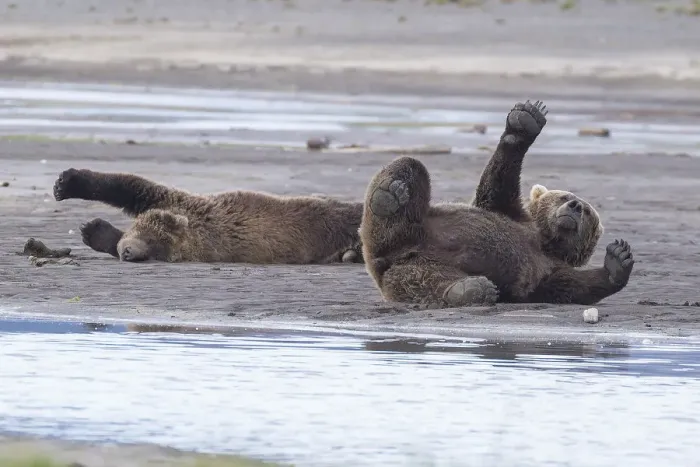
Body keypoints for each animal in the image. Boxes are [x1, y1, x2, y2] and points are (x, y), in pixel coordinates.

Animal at [52, 169, 364, 264]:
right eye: (149, 239)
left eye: (154, 246)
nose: (130, 253)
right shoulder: (184, 204)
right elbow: (135, 188)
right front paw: (66, 185)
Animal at [359, 99, 634, 308]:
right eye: (564, 197)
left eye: (588, 212)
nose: (575, 206)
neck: (545, 241)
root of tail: (383, 259)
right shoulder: (507, 212)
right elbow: (496, 186)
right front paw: (524, 122)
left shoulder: (546, 271)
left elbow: (569, 287)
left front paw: (618, 260)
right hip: (409, 227)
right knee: (410, 166)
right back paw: (388, 197)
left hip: (412, 268)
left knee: (428, 280)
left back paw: (468, 290)